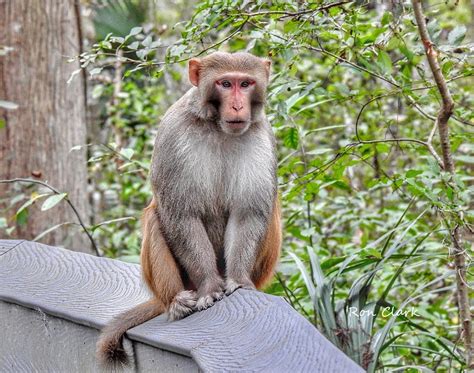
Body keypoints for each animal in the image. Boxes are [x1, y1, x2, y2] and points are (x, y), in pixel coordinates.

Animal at [96, 50, 282, 366]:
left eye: (245, 84)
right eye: (225, 84)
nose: (237, 105)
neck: (216, 126)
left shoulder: (261, 136)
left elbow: (249, 213)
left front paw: (238, 280)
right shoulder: (173, 132)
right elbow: (181, 214)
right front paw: (209, 288)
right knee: (156, 215)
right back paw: (177, 302)